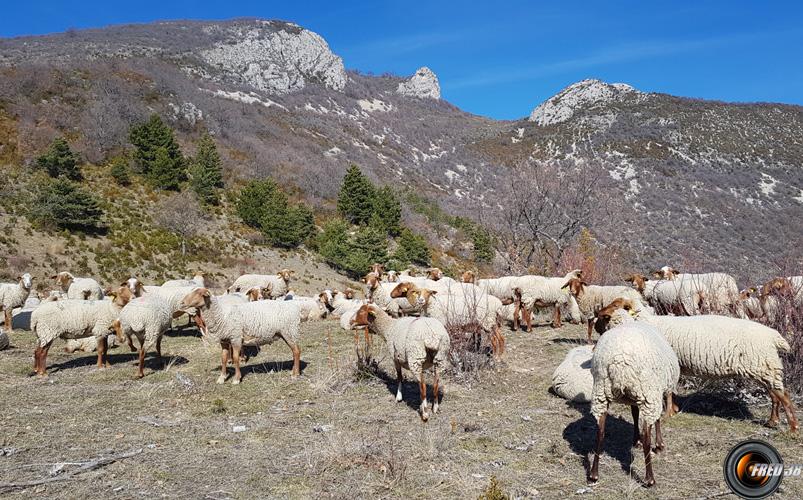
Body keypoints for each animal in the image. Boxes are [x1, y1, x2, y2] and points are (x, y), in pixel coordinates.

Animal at [588, 308, 680, 488]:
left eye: (600, 316)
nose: (595, 327)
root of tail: (619, 363)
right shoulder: (654, 392)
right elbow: (657, 419)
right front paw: (659, 444)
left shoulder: (633, 398)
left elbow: (634, 414)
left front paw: (635, 440)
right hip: (647, 392)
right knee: (647, 435)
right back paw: (650, 479)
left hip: (601, 393)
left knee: (600, 432)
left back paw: (594, 475)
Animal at [596, 298, 796, 432]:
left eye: (616, 306)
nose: (597, 317)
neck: (648, 323)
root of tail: (774, 337)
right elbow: (671, 391)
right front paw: (674, 409)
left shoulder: (667, 365)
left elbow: (669, 392)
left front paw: (669, 412)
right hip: (765, 368)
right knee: (775, 395)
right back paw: (772, 421)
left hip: (764, 366)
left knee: (784, 396)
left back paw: (792, 428)